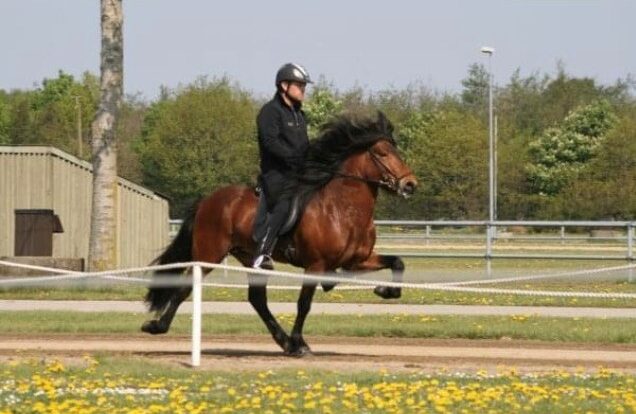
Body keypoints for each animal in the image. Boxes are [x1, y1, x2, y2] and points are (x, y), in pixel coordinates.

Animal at [141, 111, 418, 356]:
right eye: (382, 153)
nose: (410, 184)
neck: (342, 209)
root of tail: (208, 200)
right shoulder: (316, 265)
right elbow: (304, 304)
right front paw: (299, 343)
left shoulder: (356, 260)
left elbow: (398, 262)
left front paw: (386, 291)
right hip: (209, 254)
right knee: (185, 286)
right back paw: (156, 326)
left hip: (251, 259)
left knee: (257, 299)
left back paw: (282, 341)